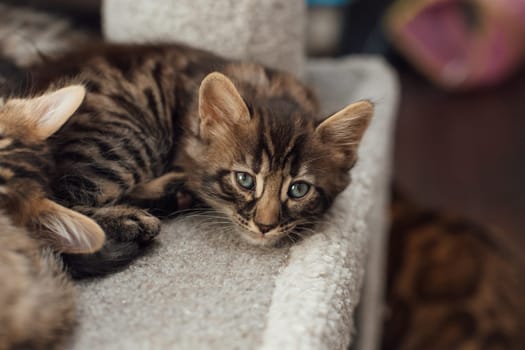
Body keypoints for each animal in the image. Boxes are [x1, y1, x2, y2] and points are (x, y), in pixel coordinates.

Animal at [26, 43, 372, 276]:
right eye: (244, 180)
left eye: (298, 189)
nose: (264, 226)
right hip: (128, 135)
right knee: (52, 209)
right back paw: (132, 219)